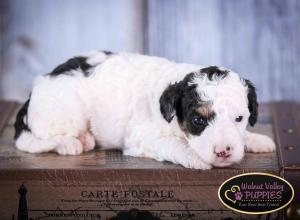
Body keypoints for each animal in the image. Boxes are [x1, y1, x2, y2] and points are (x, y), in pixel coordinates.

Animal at [14, 50, 276, 169]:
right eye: (198, 121)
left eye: (239, 118)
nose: (223, 152)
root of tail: (35, 89)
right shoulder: (141, 138)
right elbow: (174, 144)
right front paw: (195, 159)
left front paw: (256, 139)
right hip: (67, 113)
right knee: (33, 139)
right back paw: (71, 143)